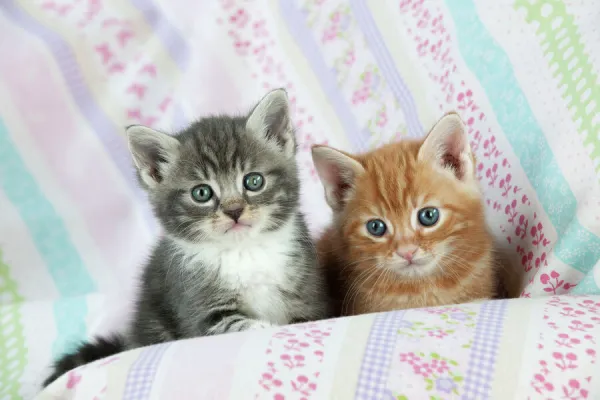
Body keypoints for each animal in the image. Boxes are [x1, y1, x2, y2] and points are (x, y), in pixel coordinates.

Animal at [44, 89, 330, 386]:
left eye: (253, 181)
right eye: (201, 193)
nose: (234, 210)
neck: (244, 251)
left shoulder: (307, 293)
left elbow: (308, 318)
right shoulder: (197, 306)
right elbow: (236, 325)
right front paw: (265, 326)